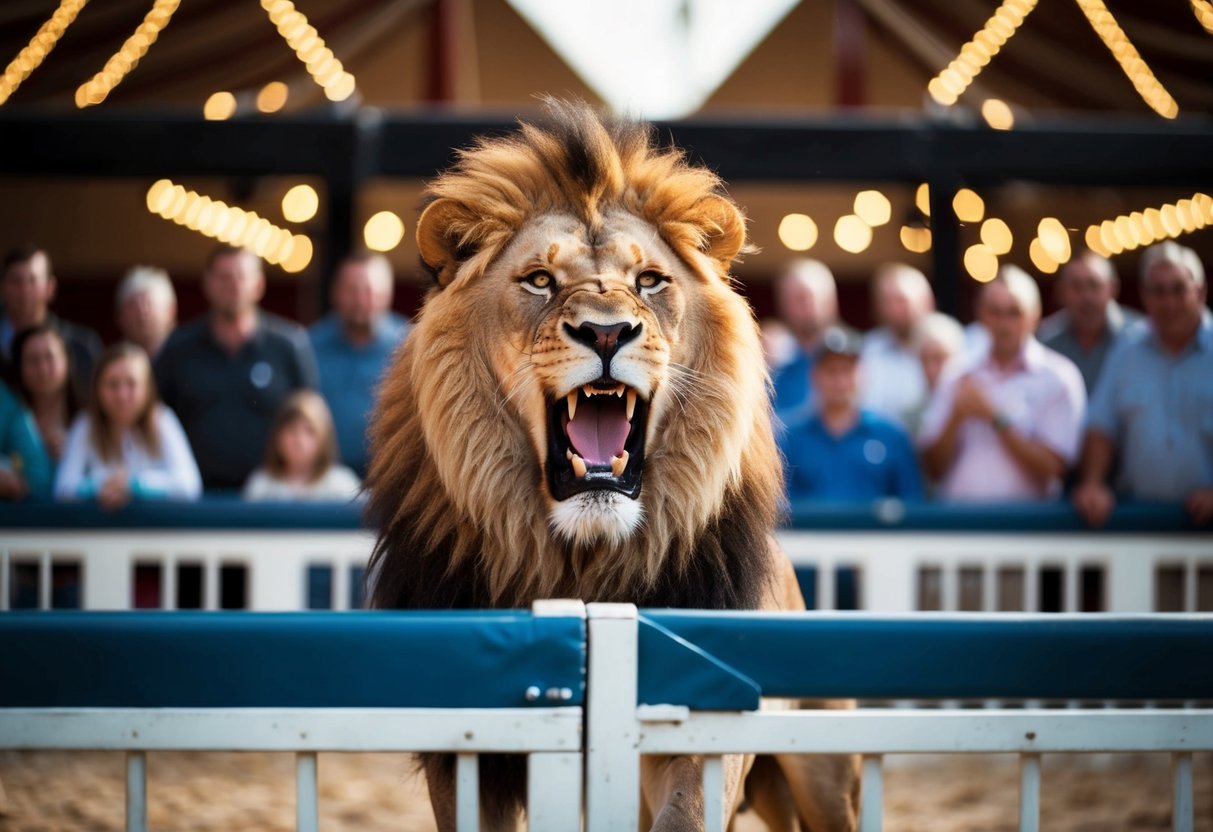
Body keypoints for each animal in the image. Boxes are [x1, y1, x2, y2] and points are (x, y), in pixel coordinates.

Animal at [363, 101, 858, 829]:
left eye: (649, 281)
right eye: (540, 280)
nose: (604, 331)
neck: (584, 561)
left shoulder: (702, 715)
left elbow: (686, 812)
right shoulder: (468, 746)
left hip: (825, 774)